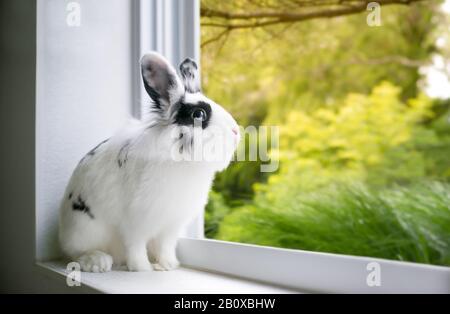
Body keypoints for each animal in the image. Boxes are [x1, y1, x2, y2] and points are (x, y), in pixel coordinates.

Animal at [60, 52, 243, 272]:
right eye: (198, 114)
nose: (236, 131)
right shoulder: (136, 221)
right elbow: (136, 244)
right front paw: (141, 268)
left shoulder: (171, 224)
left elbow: (165, 245)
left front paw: (168, 265)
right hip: (85, 228)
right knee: (75, 252)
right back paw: (98, 262)